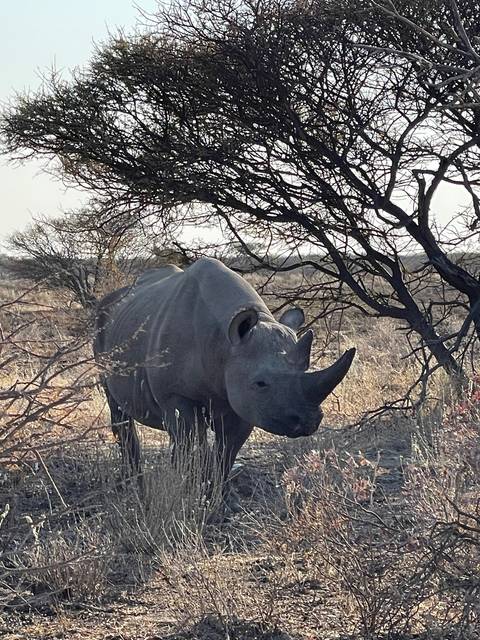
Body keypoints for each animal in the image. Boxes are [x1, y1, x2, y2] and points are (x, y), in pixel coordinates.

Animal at [94, 257, 355, 490]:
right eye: (260, 383)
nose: (309, 421)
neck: (225, 345)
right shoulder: (176, 394)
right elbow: (192, 449)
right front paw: (190, 494)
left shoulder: (245, 402)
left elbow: (225, 455)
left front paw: (212, 497)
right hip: (101, 326)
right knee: (118, 409)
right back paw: (133, 485)